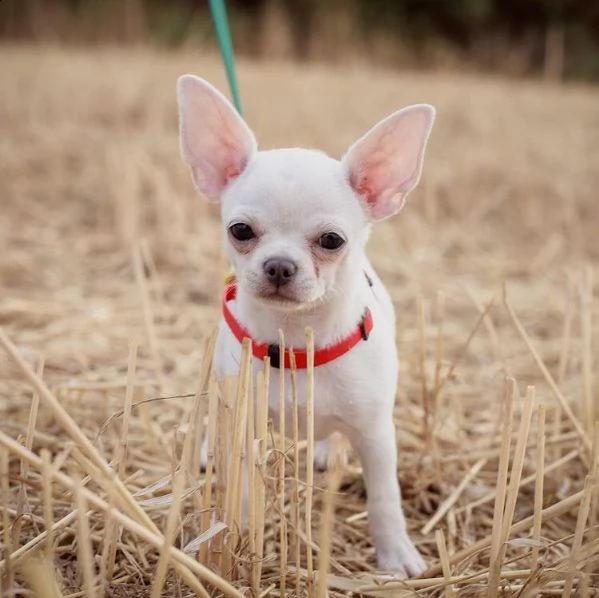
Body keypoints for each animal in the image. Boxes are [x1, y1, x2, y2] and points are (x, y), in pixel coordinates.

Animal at [178, 72, 436, 580]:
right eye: (240, 231)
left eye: (332, 241)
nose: (279, 265)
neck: (295, 340)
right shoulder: (244, 423)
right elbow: (239, 490)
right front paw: (234, 541)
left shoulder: (377, 435)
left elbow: (384, 499)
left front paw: (395, 555)